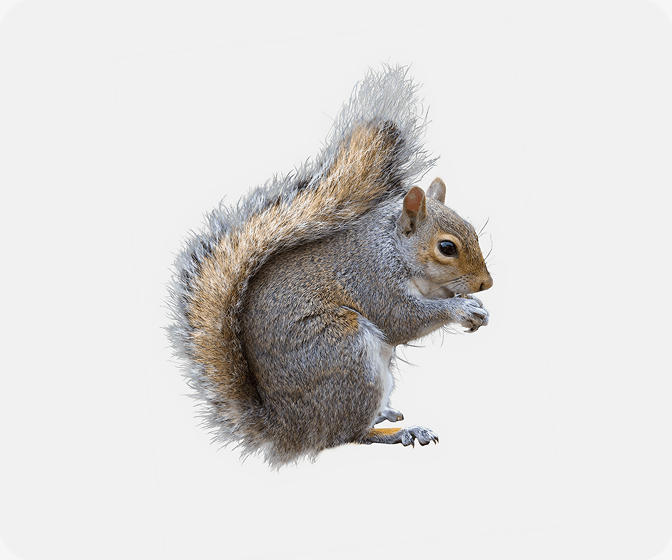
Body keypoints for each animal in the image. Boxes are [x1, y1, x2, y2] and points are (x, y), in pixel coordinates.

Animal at [167, 66, 493, 468]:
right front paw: (460, 309)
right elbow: (401, 320)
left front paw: (478, 309)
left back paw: (386, 414)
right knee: (346, 435)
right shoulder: (372, 278)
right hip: (346, 354)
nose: (486, 283)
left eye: (474, 231)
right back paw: (398, 431)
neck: (392, 248)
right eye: (447, 247)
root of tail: (292, 429)